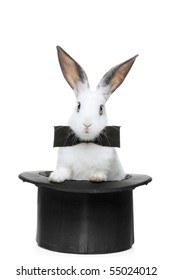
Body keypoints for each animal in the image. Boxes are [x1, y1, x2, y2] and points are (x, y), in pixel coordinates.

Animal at [49, 46, 138, 183]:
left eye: (101, 108)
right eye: (78, 106)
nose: (87, 124)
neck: (86, 142)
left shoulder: (106, 167)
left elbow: (101, 171)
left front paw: (96, 178)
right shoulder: (65, 165)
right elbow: (64, 170)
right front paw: (55, 177)